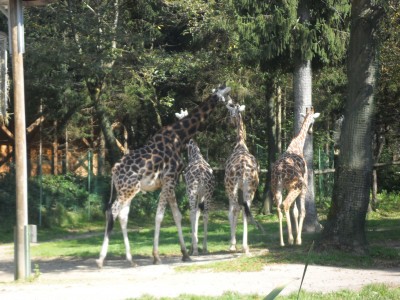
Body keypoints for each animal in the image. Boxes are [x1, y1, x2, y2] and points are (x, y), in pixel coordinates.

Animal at [173, 110, 214, 255]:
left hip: (191, 191)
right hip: (208, 193)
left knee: (191, 212)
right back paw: (205, 247)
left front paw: (193, 245)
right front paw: (196, 243)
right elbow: (198, 214)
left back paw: (195, 249)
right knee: (206, 213)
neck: (194, 154)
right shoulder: (201, 195)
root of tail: (201, 176)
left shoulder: (192, 192)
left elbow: (193, 214)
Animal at [270, 106, 320, 247]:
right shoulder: (303, 186)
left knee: (279, 208)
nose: (311, 131)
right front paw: (299, 239)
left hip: (276, 187)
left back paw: (282, 241)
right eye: (313, 121)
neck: (297, 145)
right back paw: (291, 239)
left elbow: (295, 211)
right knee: (285, 204)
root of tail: (279, 172)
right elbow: (302, 211)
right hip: (296, 186)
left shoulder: (287, 188)